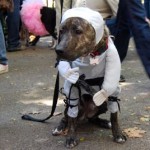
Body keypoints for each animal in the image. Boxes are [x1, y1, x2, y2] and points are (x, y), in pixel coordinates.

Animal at [54, 7, 126, 148]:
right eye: (61, 31)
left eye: (78, 31)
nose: (58, 50)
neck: (91, 55)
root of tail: (85, 115)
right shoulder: (73, 90)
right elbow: (71, 119)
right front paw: (71, 137)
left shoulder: (113, 92)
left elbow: (114, 116)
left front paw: (118, 134)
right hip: (71, 103)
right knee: (67, 117)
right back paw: (59, 127)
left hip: (102, 104)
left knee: (93, 118)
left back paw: (103, 122)